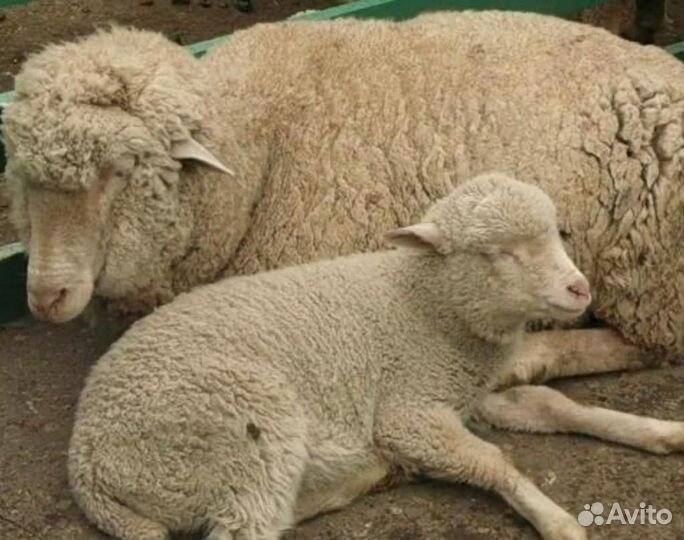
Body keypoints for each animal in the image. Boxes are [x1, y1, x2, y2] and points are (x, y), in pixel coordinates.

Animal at [3, 13, 684, 405]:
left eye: (120, 170)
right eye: (23, 176)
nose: (45, 296)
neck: (258, 148)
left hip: (649, 276)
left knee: (647, 345)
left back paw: (530, 359)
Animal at [67, 173, 684, 540]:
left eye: (559, 233)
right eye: (497, 253)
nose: (581, 290)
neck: (427, 305)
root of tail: (86, 463)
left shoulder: (465, 392)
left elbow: (560, 408)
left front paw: (659, 432)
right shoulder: (408, 411)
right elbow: (493, 462)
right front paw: (557, 520)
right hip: (241, 423)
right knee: (243, 527)